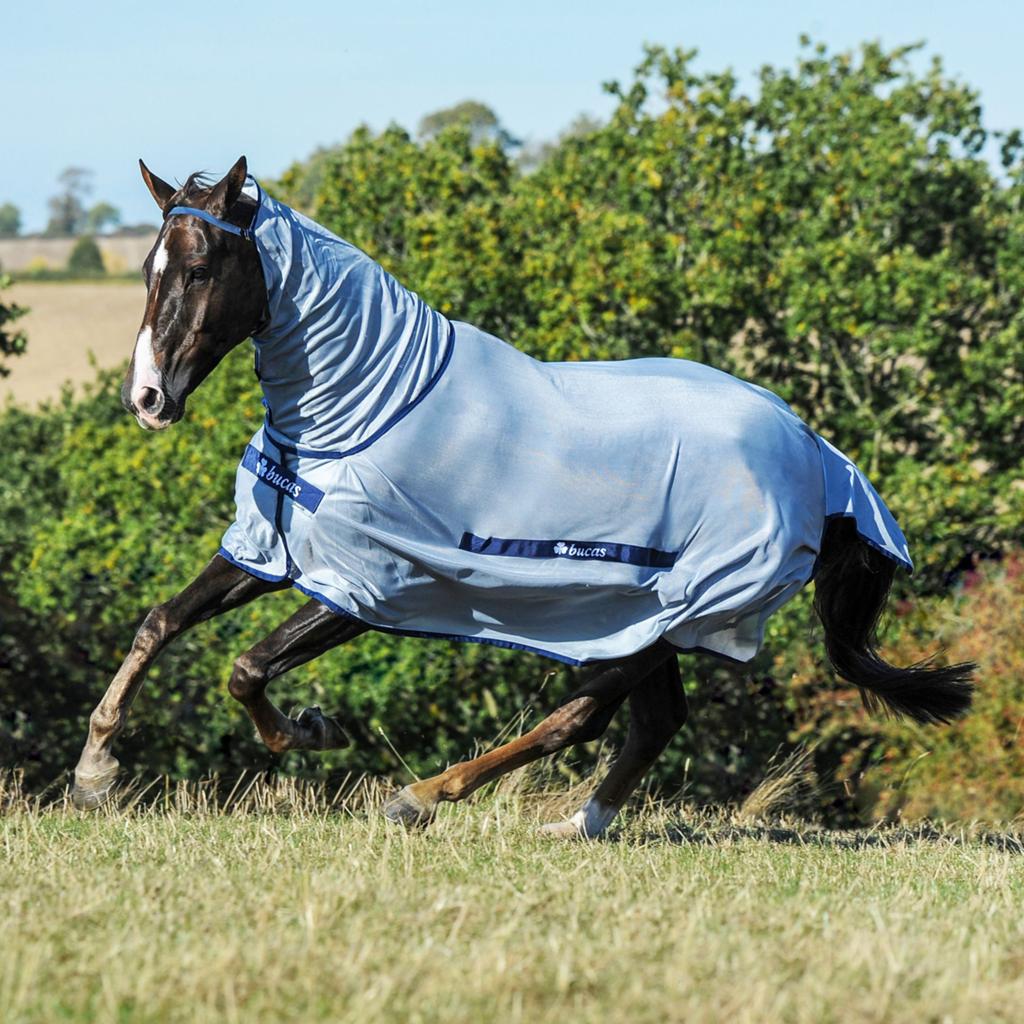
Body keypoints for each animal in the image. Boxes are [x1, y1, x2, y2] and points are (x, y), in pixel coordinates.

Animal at [70, 156, 974, 837]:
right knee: (651, 724)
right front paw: (96, 770)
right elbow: (161, 622)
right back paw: (573, 827)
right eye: (148, 270)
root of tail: (817, 456)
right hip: (642, 618)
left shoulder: (370, 588)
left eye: (198, 269)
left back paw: (425, 797)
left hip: (669, 618)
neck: (367, 406)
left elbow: (246, 667)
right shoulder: (271, 552)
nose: (147, 399)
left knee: (581, 719)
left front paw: (308, 731)